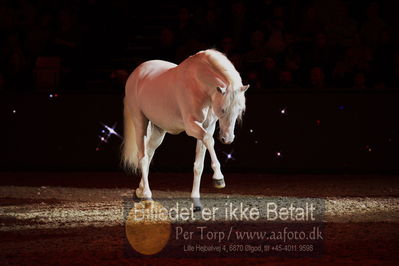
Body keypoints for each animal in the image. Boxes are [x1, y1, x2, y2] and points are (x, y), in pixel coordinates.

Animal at [122, 48, 250, 211]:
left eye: (240, 110)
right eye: (223, 110)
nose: (227, 139)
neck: (198, 84)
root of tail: (136, 74)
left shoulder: (207, 127)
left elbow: (199, 165)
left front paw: (196, 203)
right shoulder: (192, 127)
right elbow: (209, 140)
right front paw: (219, 178)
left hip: (159, 130)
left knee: (149, 155)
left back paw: (140, 191)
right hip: (140, 124)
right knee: (142, 158)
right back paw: (148, 198)